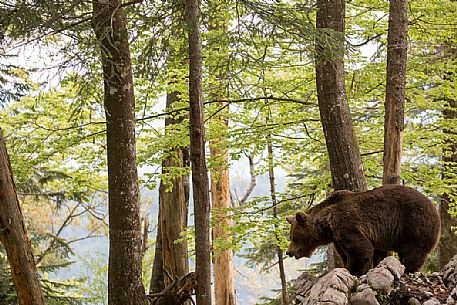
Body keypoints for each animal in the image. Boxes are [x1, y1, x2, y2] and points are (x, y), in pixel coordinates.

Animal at [286, 183, 440, 276]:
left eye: (293, 237)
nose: (289, 252)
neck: (327, 224)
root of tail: (434, 207)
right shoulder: (337, 238)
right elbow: (345, 254)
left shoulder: (347, 225)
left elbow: (361, 249)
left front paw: (352, 271)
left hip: (413, 222)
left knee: (413, 250)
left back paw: (408, 269)